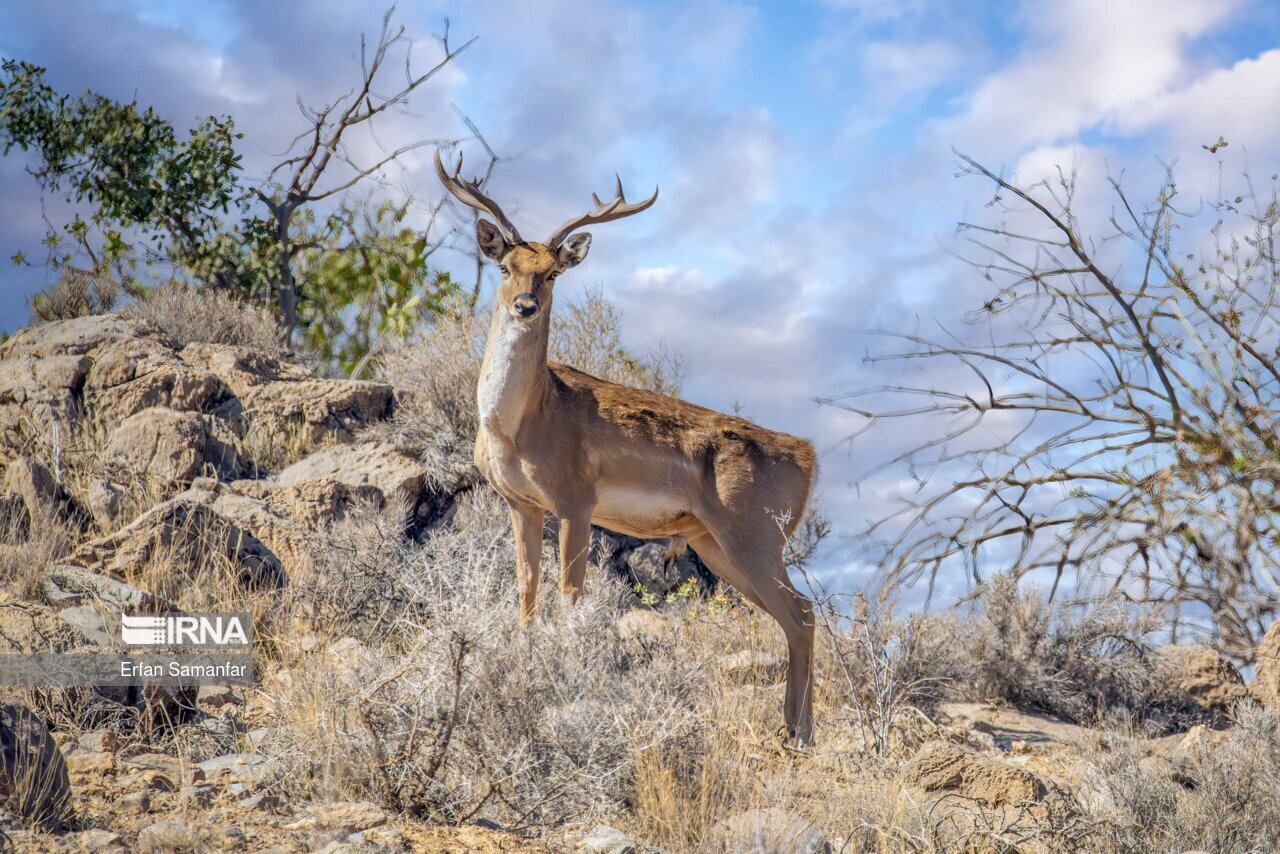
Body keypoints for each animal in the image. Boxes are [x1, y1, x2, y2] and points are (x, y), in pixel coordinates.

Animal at [435, 148, 819, 742]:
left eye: (551, 272)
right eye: (505, 267)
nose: (524, 305)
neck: (518, 425)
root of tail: (808, 456)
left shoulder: (575, 500)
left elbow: (571, 596)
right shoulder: (521, 503)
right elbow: (526, 591)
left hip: (755, 536)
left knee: (802, 613)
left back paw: (798, 734)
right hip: (716, 542)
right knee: (797, 616)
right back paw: (795, 731)